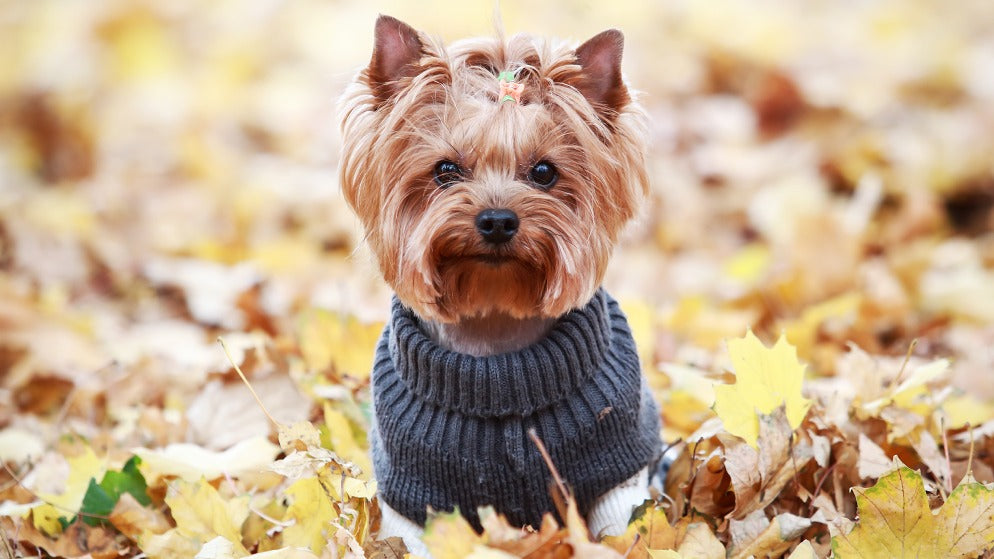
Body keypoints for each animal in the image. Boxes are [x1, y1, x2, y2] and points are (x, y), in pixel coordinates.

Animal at [338, 14, 664, 556]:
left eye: (544, 172)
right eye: (445, 170)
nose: (496, 220)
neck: (494, 331)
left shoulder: (617, 471)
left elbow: (623, 531)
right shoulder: (414, 497)